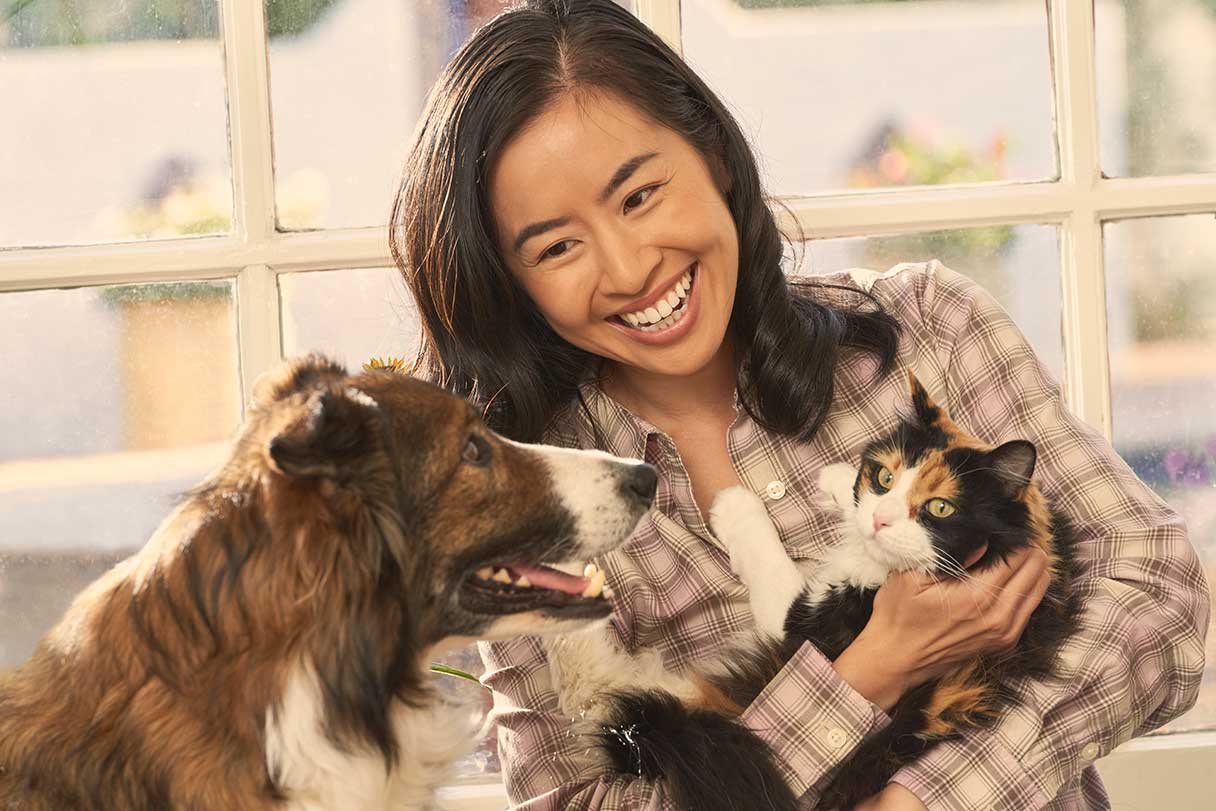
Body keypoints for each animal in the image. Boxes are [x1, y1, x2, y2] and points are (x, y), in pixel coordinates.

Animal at [593, 374, 1079, 811]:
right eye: (884, 478)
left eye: (940, 507)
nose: (881, 520)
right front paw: (841, 480)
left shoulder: (803, 624)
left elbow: (762, 545)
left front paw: (733, 502)